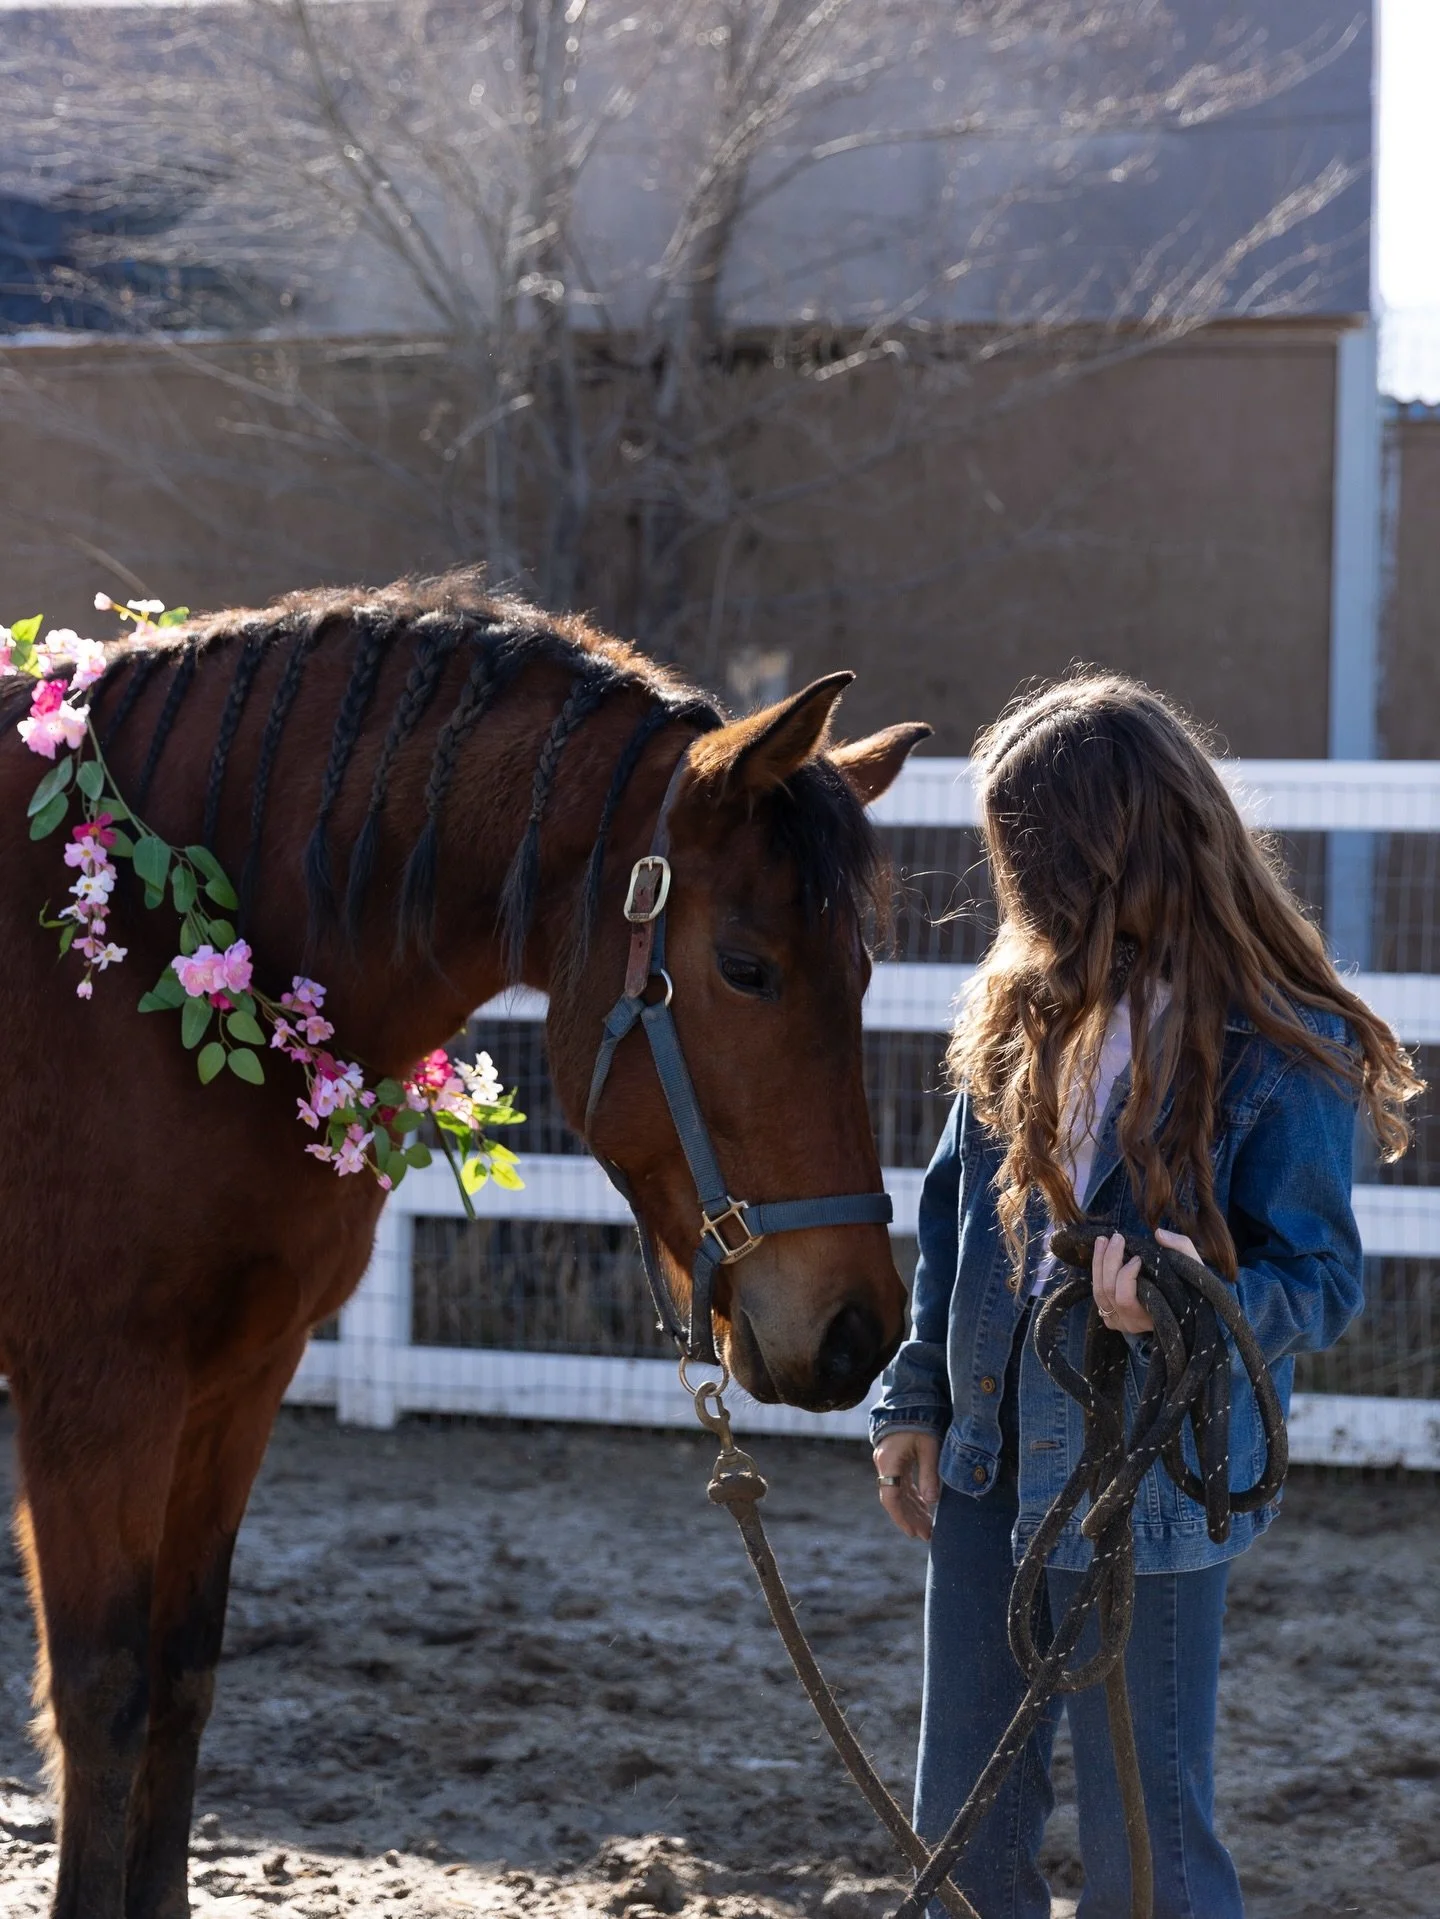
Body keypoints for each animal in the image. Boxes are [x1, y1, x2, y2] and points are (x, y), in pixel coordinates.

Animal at [0, 570, 929, 1918]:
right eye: (746, 966)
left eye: (863, 972)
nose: (859, 1328)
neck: (138, 961)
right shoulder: (97, 1390)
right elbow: (107, 1694)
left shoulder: (240, 1376)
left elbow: (182, 1674)